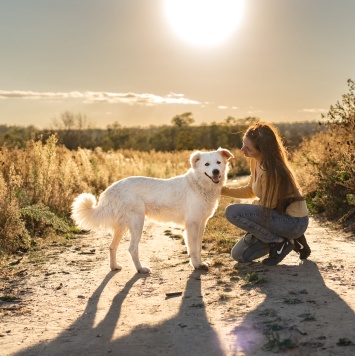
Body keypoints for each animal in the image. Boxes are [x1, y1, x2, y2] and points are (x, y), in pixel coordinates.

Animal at [71, 147, 234, 272]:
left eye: (218, 162)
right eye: (207, 164)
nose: (215, 171)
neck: (200, 185)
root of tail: (111, 189)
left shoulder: (201, 223)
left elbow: (199, 246)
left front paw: (200, 263)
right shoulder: (192, 224)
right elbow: (193, 248)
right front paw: (196, 265)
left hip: (122, 226)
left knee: (112, 247)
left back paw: (114, 267)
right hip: (137, 222)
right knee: (132, 248)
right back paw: (141, 269)